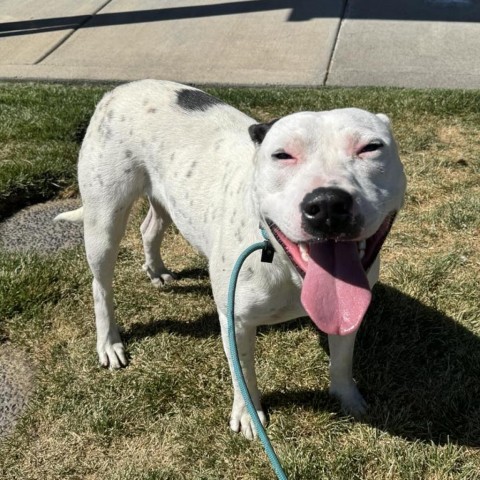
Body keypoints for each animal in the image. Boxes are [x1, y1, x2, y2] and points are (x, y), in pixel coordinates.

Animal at [57, 79, 408, 438]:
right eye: (282, 155)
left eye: (370, 148)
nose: (327, 204)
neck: (284, 264)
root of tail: (124, 86)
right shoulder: (235, 321)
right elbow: (244, 374)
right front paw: (249, 415)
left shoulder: (348, 314)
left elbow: (341, 360)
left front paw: (347, 398)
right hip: (105, 218)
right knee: (101, 285)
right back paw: (109, 342)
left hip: (165, 198)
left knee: (149, 227)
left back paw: (156, 270)